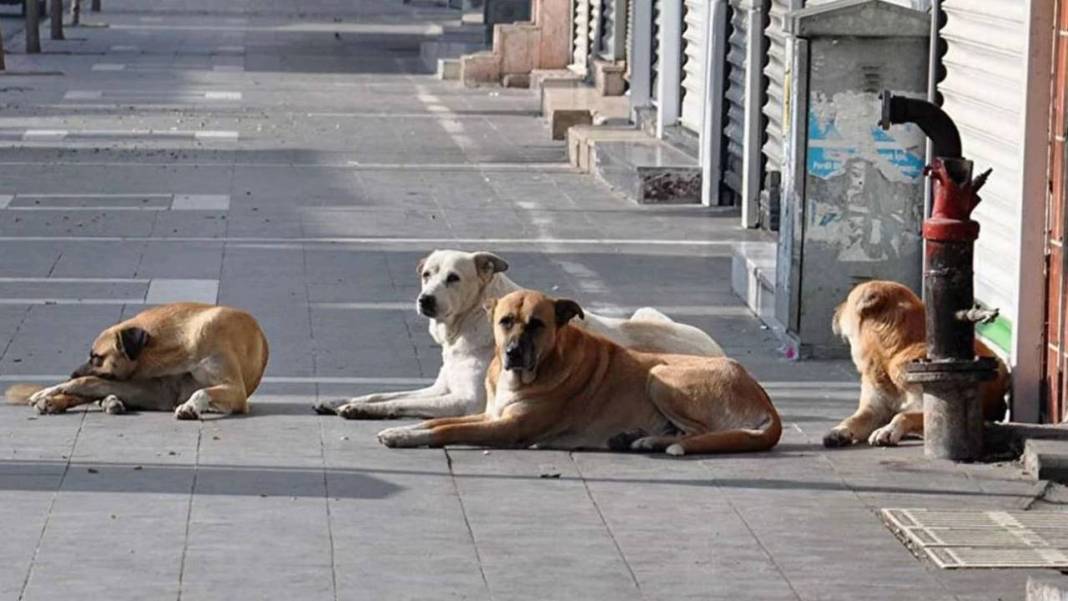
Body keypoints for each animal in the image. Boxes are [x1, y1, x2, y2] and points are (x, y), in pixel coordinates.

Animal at [7, 303, 271, 420]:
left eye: (96, 357)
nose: (71, 373)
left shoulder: (235, 391)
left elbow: (201, 391)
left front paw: (189, 406)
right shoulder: (155, 389)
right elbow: (84, 383)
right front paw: (48, 391)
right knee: (90, 390)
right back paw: (54, 400)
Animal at [311, 249, 721, 418]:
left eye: (453, 278)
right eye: (427, 274)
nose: (424, 300)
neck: (467, 326)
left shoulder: (464, 401)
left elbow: (397, 403)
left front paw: (362, 410)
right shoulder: (440, 387)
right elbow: (383, 392)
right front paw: (342, 400)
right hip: (644, 312)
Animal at [380, 290, 781, 456]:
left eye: (537, 324)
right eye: (505, 321)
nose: (512, 353)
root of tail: (764, 398)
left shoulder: (506, 427)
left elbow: (446, 430)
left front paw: (405, 437)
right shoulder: (489, 414)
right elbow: (435, 423)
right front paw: (403, 429)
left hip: (661, 376)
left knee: (702, 433)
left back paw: (655, 442)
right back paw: (641, 438)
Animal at [820, 281, 1003, 446]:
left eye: (848, 301)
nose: (834, 310)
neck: (893, 354)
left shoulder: (930, 407)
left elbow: (903, 415)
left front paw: (887, 430)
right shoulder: (873, 410)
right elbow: (852, 419)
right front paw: (839, 430)